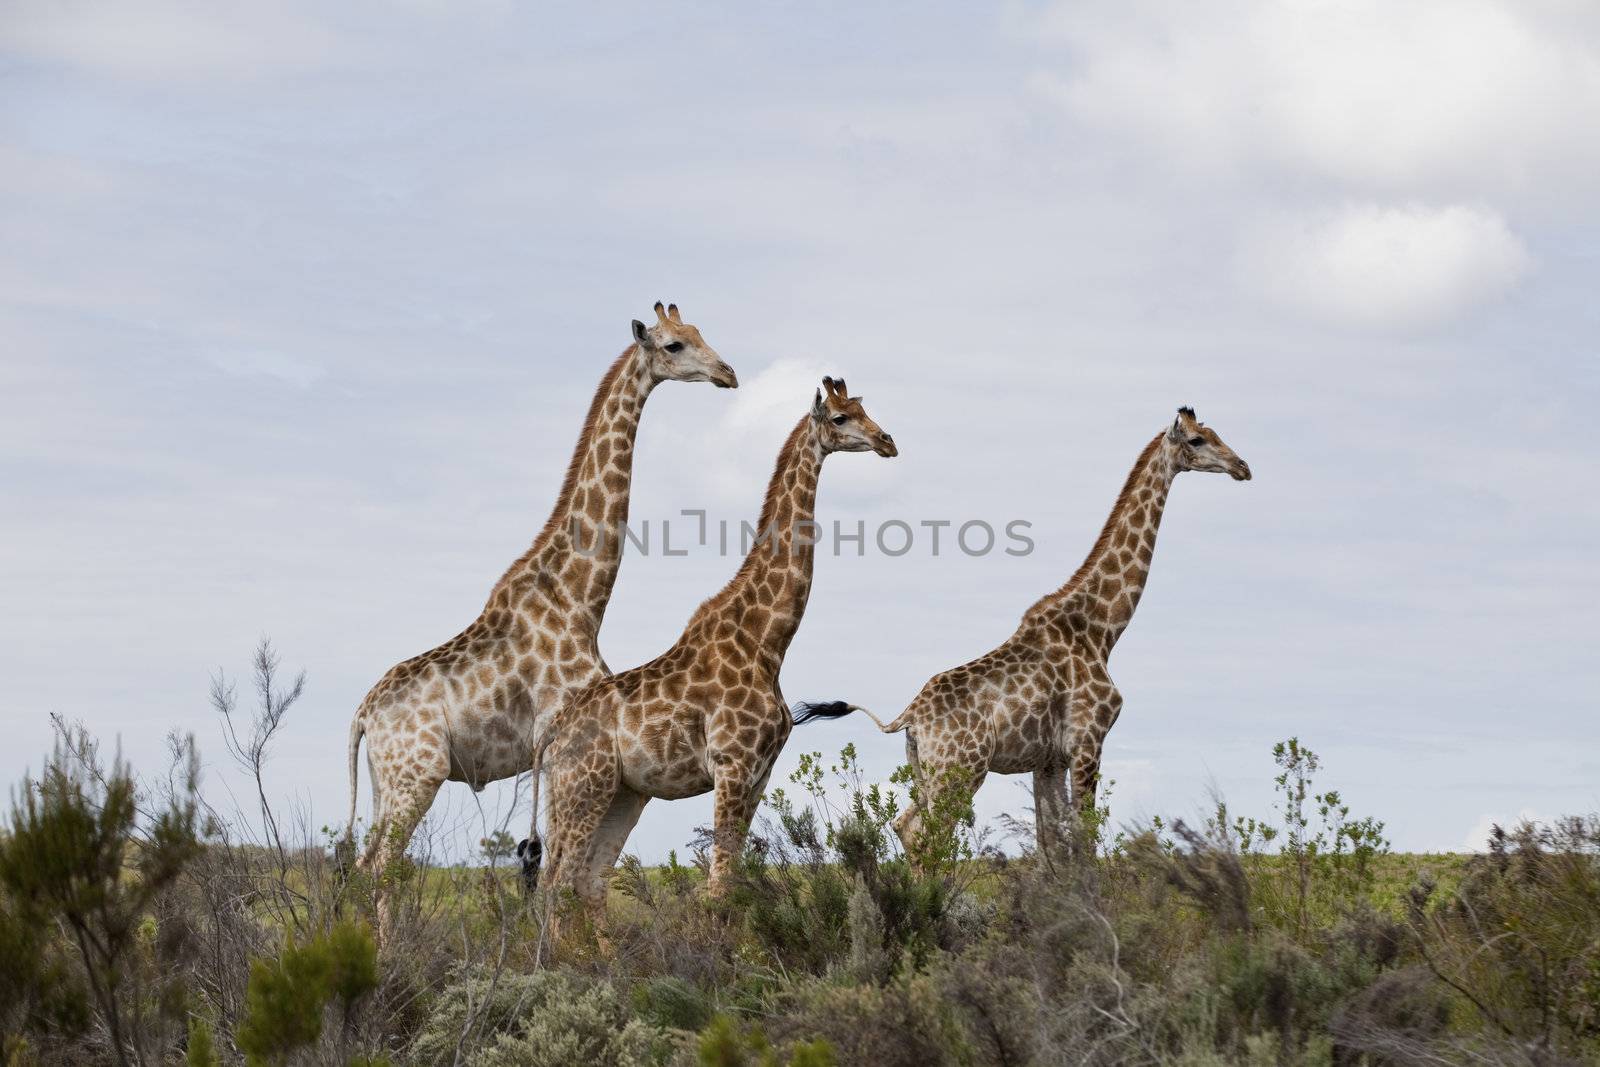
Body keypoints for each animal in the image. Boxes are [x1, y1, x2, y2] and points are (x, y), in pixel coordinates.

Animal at [344, 302, 736, 921]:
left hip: (387, 782)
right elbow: (559, 871)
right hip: (417, 776)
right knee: (382, 869)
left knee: (364, 866)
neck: (581, 599)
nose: (728, 373)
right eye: (675, 345)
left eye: (699, 333)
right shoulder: (560, 742)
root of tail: (363, 716)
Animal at [528, 375, 896, 908]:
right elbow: (719, 889)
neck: (767, 643)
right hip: (583, 786)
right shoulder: (732, 764)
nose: (887, 441)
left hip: (618, 793)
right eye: (841, 417)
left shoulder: (760, 773)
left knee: (584, 883)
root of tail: (552, 735)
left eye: (865, 409)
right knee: (557, 886)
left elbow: (732, 881)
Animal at [812, 409, 1248, 857]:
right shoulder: (1087, 743)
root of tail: (910, 717)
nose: (1242, 467)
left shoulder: (1048, 759)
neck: (1102, 629)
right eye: (1197, 440)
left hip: (926, 771)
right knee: (931, 838)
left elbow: (1051, 846)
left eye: (1215, 433)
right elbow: (1084, 842)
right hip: (960, 771)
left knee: (905, 826)